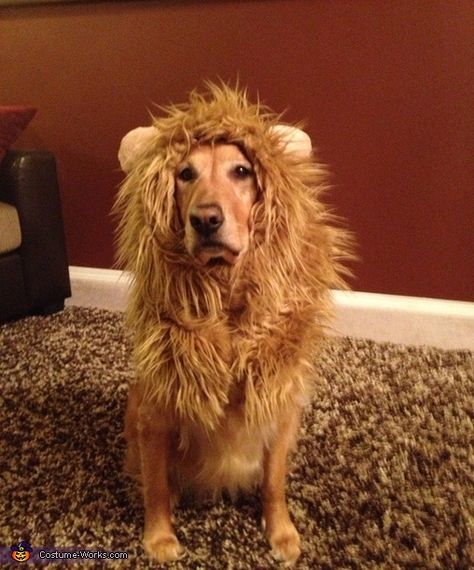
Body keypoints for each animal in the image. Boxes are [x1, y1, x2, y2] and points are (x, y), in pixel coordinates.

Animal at [114, 81, 352, 564]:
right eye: (185, 174)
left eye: (241, 171)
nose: (205, 219)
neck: (224, 295)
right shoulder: (155, 414)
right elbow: (156, 485)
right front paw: (159, 536)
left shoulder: (279, 407)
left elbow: (274, 482)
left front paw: (280, 532)